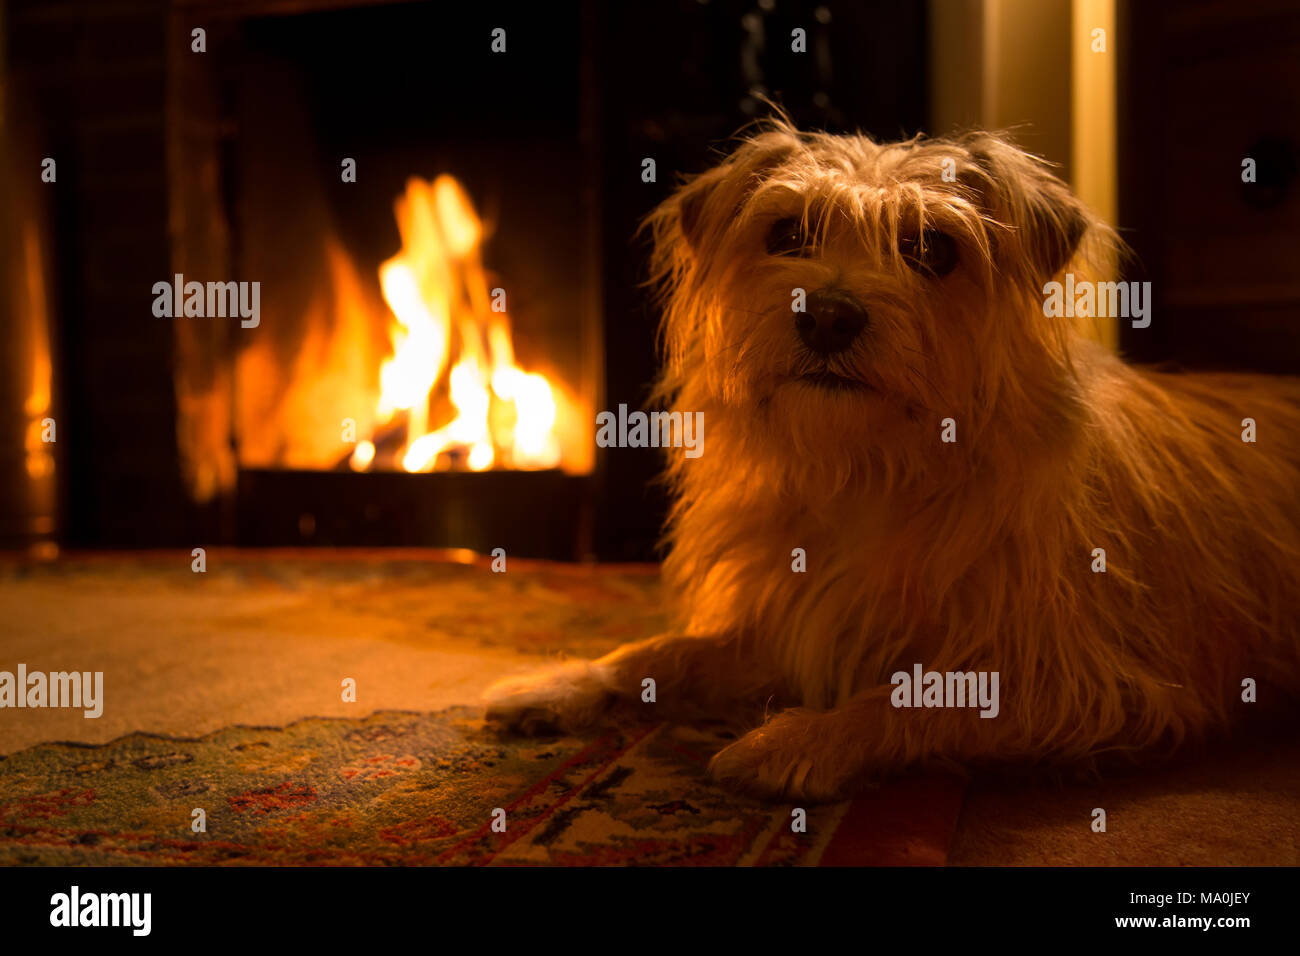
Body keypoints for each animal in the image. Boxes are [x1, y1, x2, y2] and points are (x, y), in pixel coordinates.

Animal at [486, 121, 1300, 806]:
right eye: (788, 232)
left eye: (932, 249)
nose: (826, 315)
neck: (871, 466)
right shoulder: (794, 623)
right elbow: (663, 652)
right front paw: (569, 680)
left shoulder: (1078, 679)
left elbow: (911, 696)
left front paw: (800, 738)